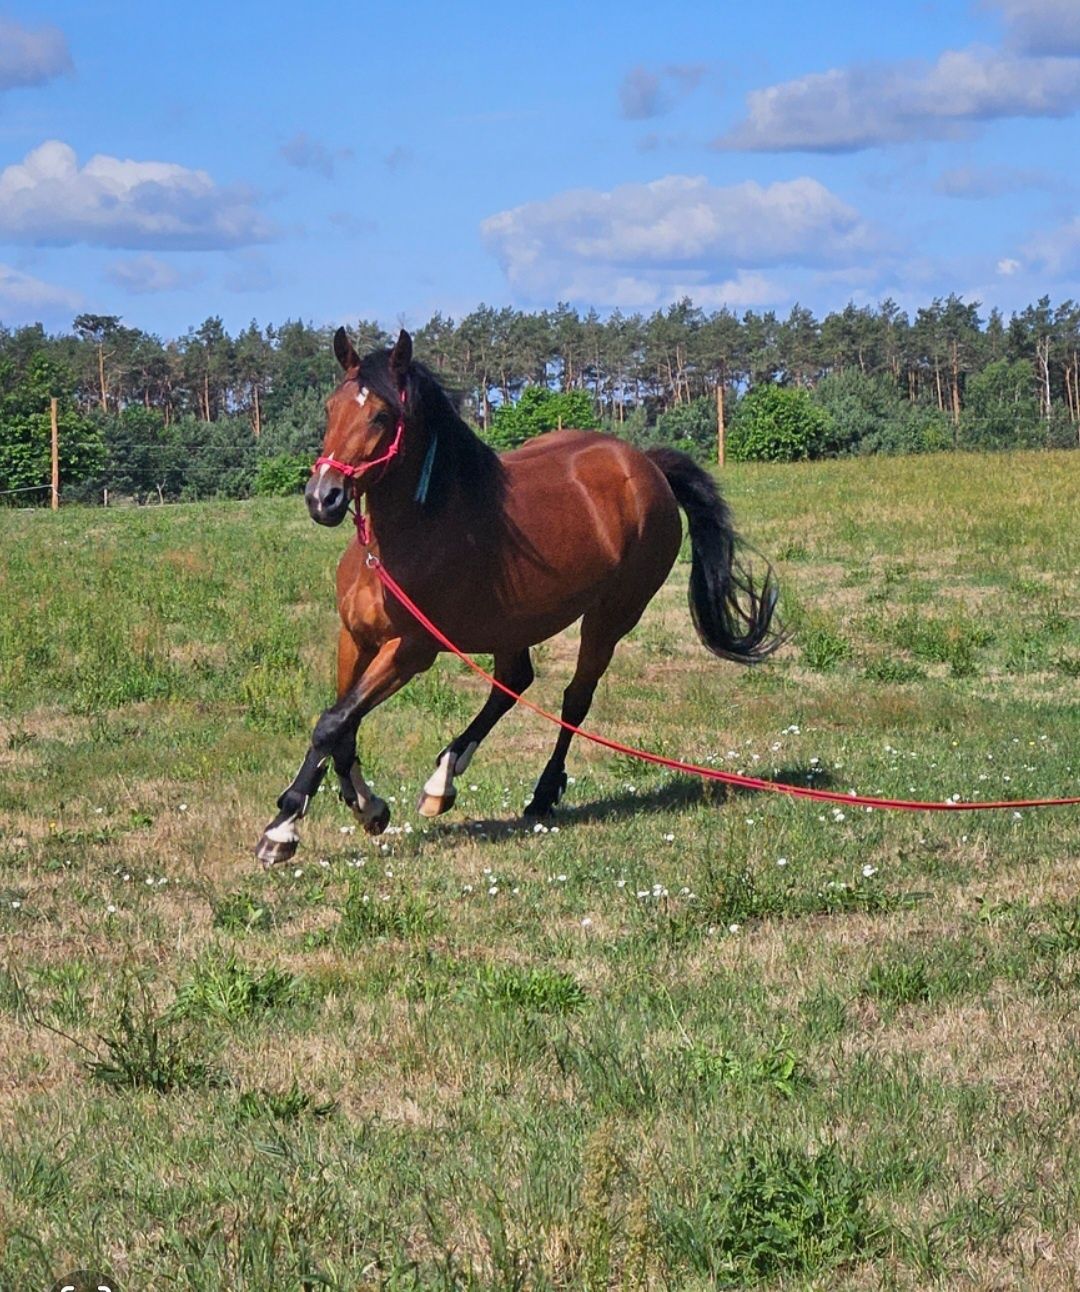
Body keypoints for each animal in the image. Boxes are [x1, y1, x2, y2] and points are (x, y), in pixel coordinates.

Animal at [257, 328, 780, 863]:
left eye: (382, 416)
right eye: (330, 407)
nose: (323, 497)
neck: (405, 539)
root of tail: (646, 466)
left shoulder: (410, 651)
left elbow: (331, 723)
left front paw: (282, 829)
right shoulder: (356, 639)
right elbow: (342, 726)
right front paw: (368, 808)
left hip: (612, 615)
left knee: (574, 699)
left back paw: (540, 794)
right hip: (512, 624)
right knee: (513, 682)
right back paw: (442, 781)